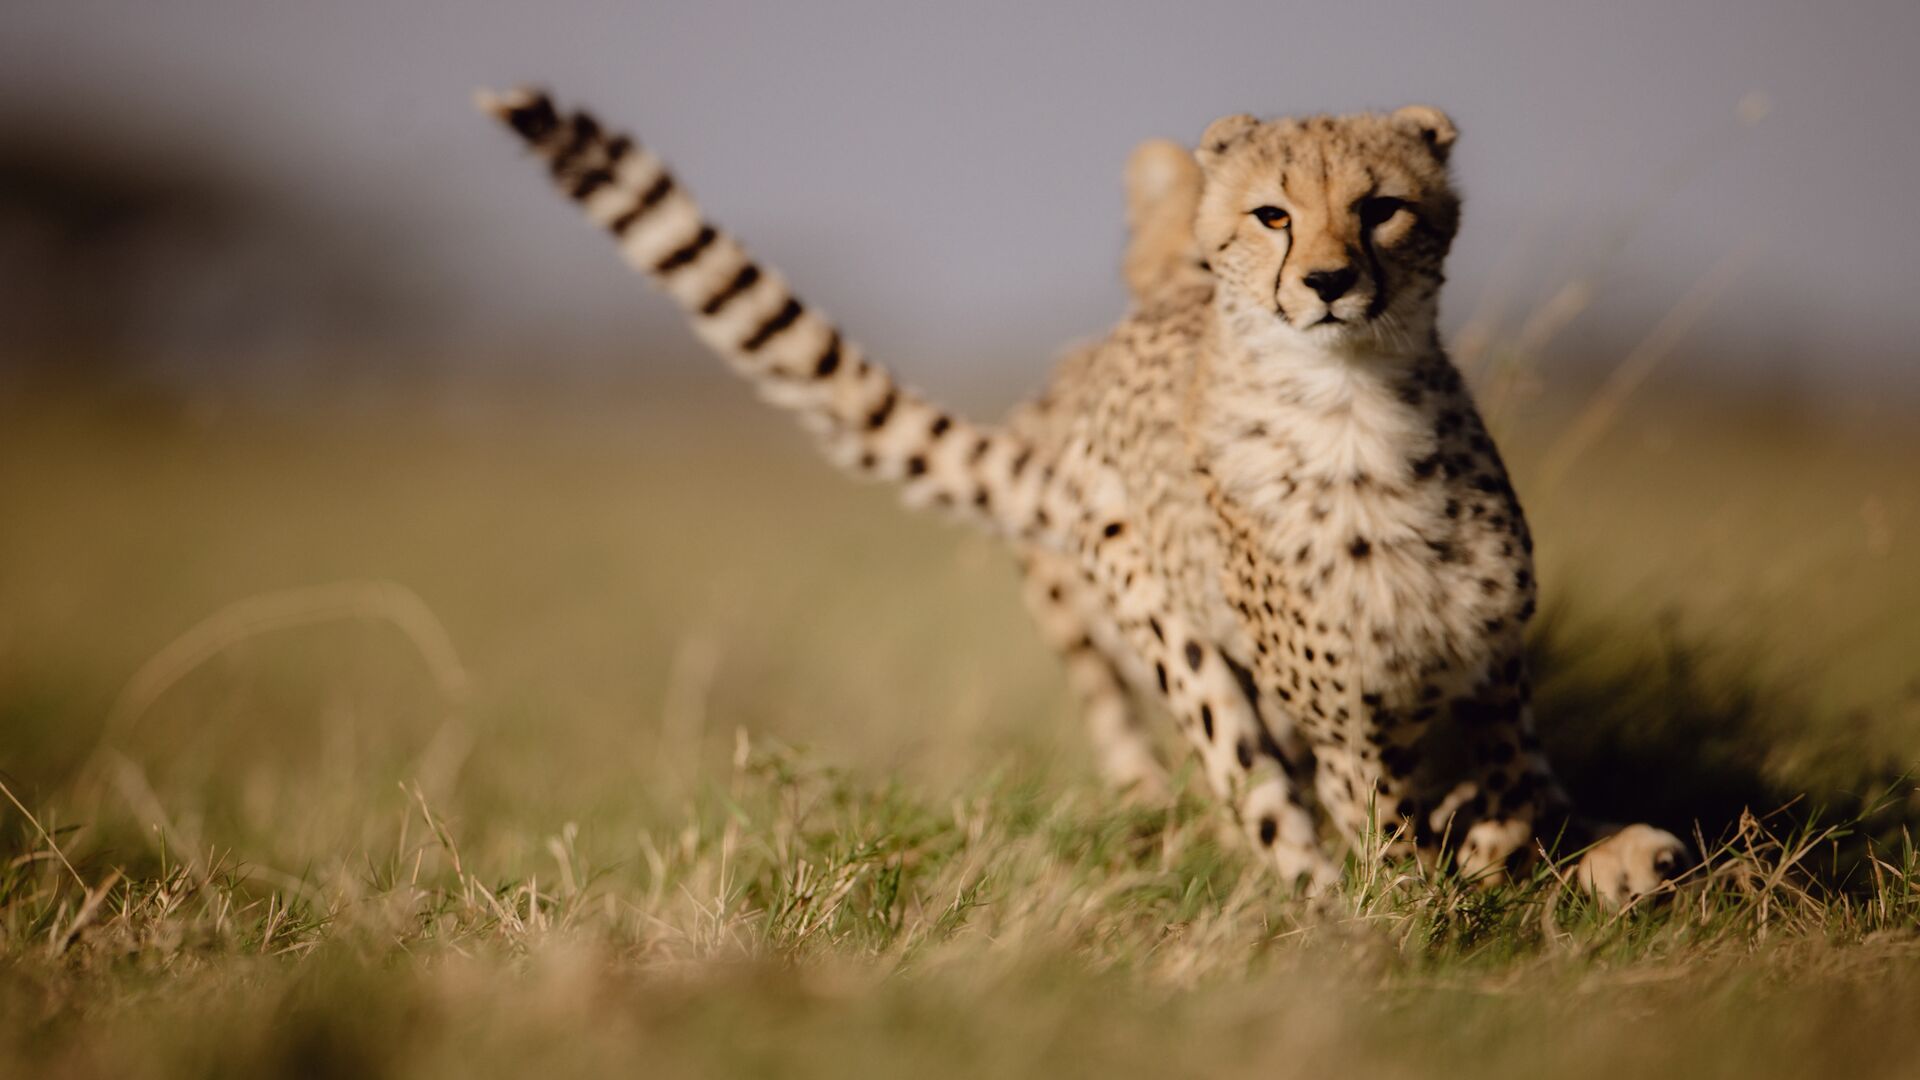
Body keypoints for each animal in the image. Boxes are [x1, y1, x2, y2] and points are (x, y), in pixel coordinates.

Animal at [478, 87, 1690, 907]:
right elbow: (1384, 831)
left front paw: (1527, 848)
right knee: (1259, 805)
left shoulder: (1492, 669)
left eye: (1382, 207)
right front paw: (1423, 902)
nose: (1329, 281)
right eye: (1273, 216)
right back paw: (1327, 915)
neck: (1352, 409)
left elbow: (1523, 793)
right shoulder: (1342, 721)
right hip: (1175, 647)